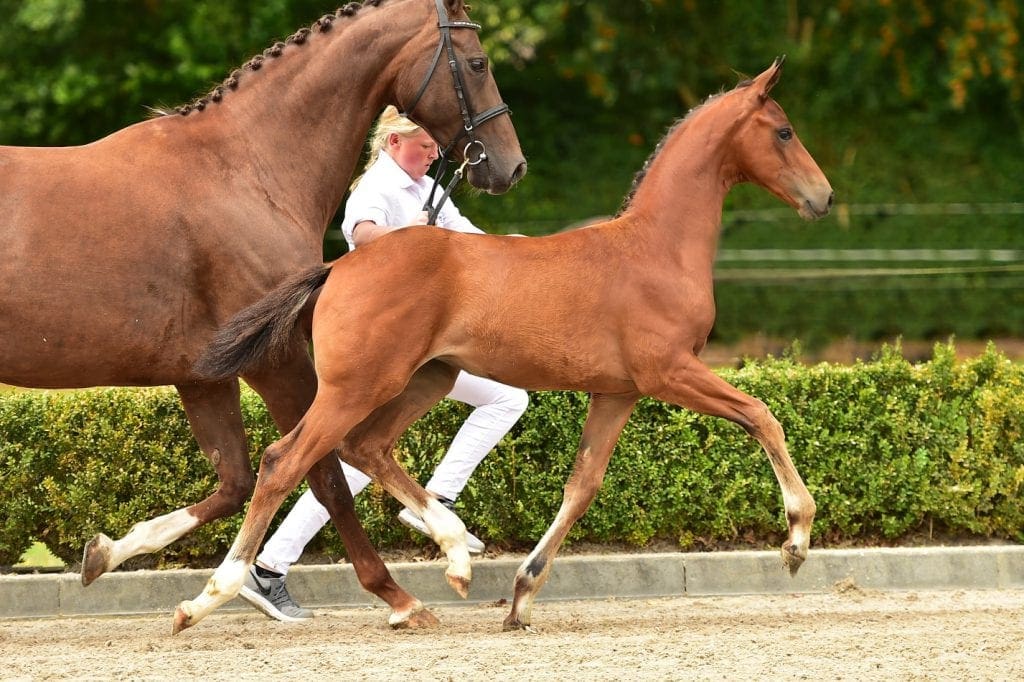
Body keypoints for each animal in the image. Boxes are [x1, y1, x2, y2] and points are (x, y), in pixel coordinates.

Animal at [0, 0, 525, 629]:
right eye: (477, 62)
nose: (511, 166)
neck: (246, 169)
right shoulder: (277, 361)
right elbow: (321, 475)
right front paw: (398, 595)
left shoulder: (204, 376)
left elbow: (237, 481)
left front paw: (108, 552)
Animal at [182, 57, 832, 632]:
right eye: (784, 130)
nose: (823, 198)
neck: (655, 249)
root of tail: (338, 266)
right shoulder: (670, 372)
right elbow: (761, 414)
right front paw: (797, 539)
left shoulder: (617, 393)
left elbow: (582, 486)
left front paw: (521, 598)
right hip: (358, 386)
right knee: (285, 461)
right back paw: (208, 598)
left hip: (426, 379)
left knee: (363, 448)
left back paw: (451, 560)